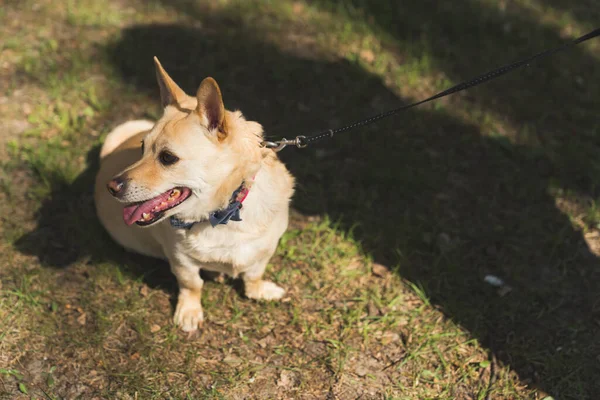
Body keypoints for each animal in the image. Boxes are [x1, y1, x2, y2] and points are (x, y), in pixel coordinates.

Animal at [93, 57, 296, 332]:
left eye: (168, 158)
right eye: (142, 148)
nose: (112, 186)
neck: (223, 213)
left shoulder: (264, 250)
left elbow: (254, 275)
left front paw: (260, 290)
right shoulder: (181, 260)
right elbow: (192, 284)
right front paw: (190, 312)